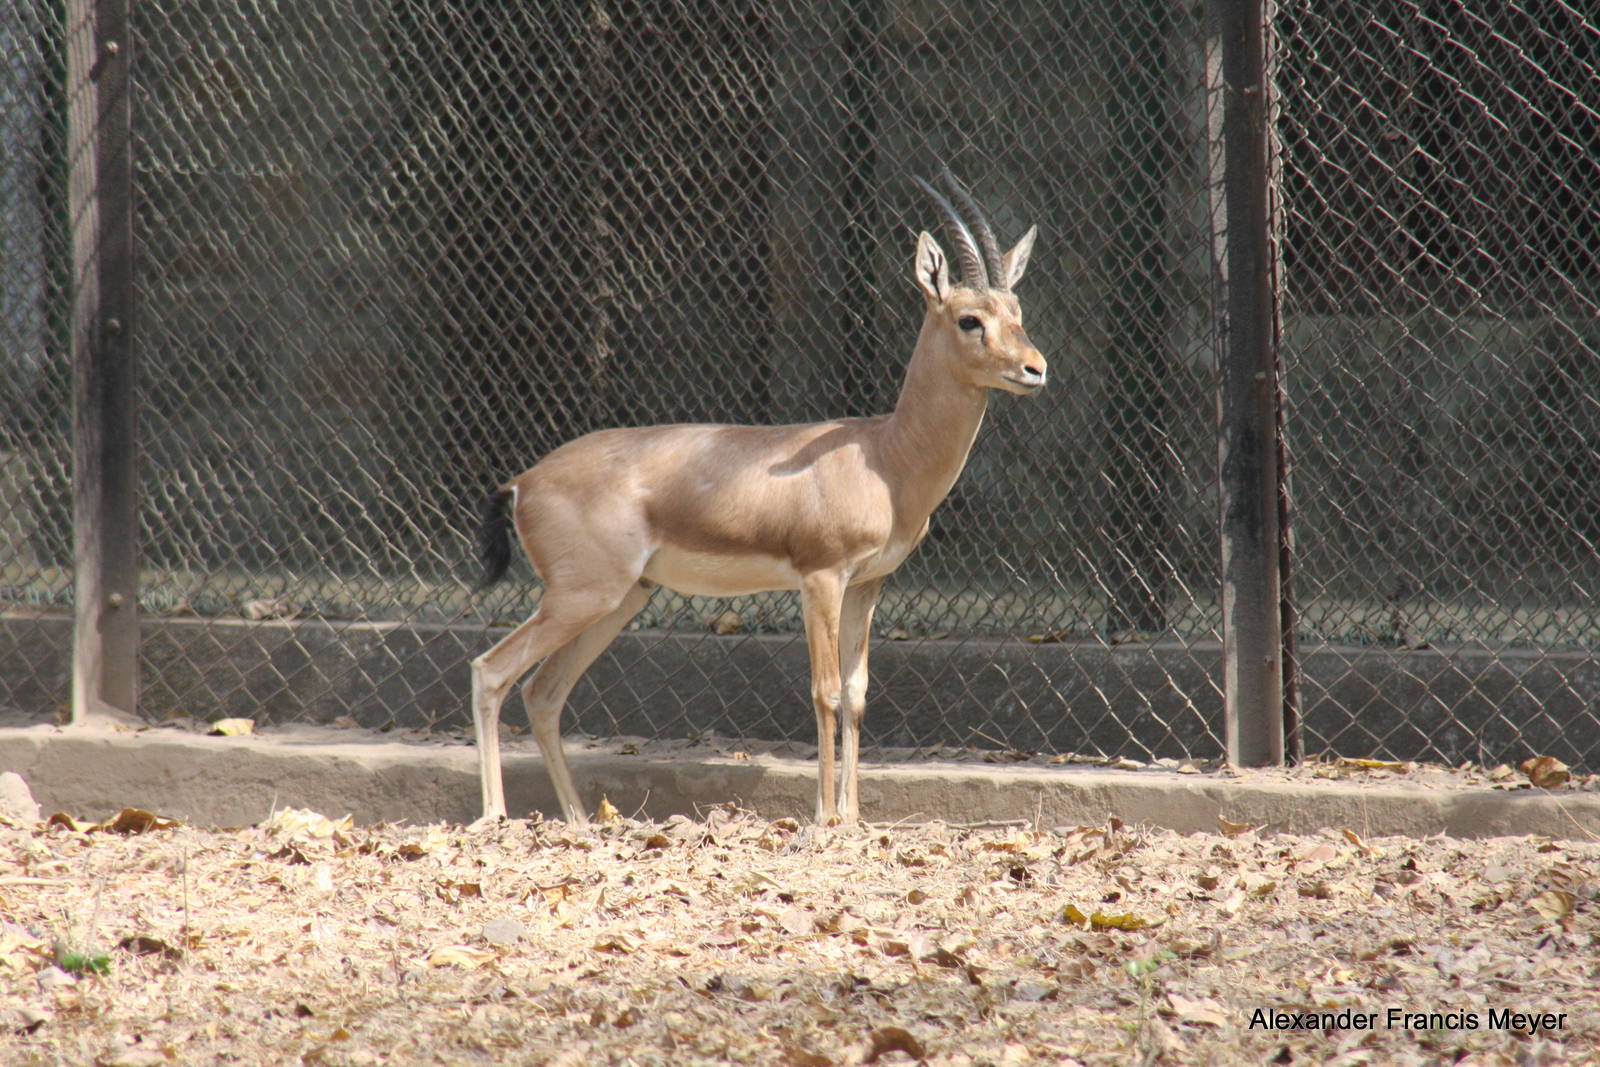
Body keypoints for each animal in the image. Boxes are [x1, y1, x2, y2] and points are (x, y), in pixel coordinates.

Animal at [471, 169, 1044, 826]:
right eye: (970, 318)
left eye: (1017, 309)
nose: (1035, 368)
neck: (884, 456)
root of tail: (523, 481)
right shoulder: (820, 579)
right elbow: (825, 692)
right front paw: (824, 821)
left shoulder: (867, 585)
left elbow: (856, 694)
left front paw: (852, 817)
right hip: (582, 596)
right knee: (491, 671)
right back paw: (495, 817)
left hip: (618, 599)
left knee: (543, 692)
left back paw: (582, 823)